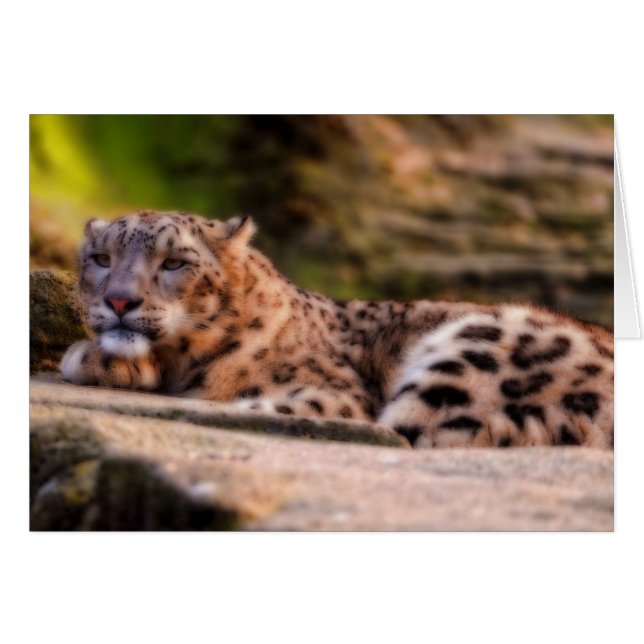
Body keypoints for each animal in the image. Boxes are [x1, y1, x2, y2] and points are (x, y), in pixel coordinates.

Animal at [60, 210, 614, 449]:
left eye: (175, 262)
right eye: (101, 258)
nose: (119, 300)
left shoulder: (335, 393)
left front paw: (86, 358)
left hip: (476, 351)